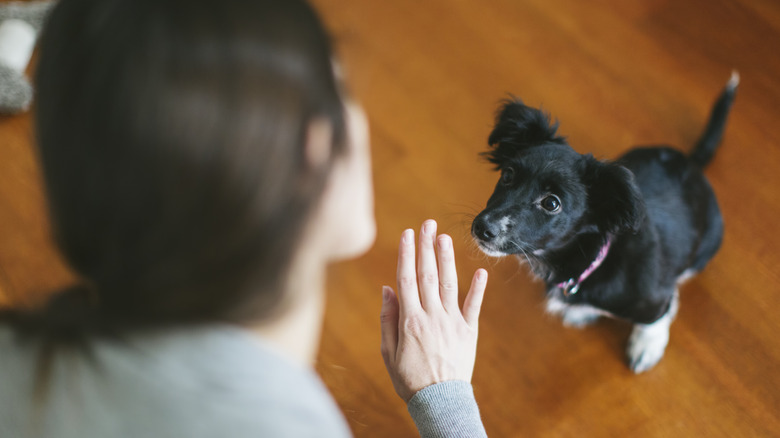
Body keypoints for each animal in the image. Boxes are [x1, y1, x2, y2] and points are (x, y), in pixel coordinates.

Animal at [470, 74, 736, 372]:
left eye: (551, 203)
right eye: (507, 175)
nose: (482, 228)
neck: (590, 261)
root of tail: (691, 163)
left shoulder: (653, 296)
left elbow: (654, 317)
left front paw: (647, 345)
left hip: (708, 245)